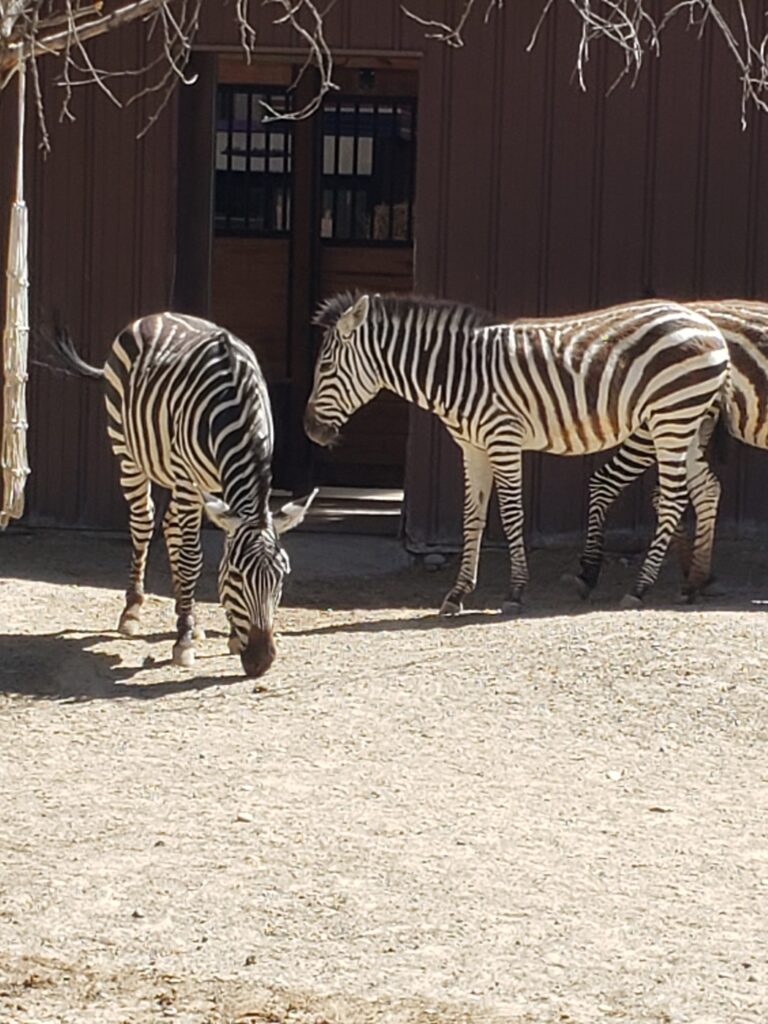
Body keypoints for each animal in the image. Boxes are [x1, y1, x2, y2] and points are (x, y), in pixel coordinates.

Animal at [53, 315, 315, 675]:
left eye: (280, 578)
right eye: (237, 577)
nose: (261, 663)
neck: (237, 406)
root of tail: (155, 316)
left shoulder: (220, 489)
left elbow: (214, 551)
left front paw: (228, 633)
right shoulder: (189, 478)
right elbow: (193, 558)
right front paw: (185, 642)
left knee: (171, 529)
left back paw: (185, 614)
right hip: (129, 453)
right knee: (144, 523)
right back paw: (134, 611)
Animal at [303, 292, 729, 610]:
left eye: (325, 367)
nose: (310, 430)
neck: (457, 374)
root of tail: (706, 325)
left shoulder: (502, 438)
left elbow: (510, 515)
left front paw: (516, 590)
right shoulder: (471, 446)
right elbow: (472, 517)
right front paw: (458, 593)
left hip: (671, 418)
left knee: (673, 499)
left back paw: (640, 588)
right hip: (685, 422)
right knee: (707, 489)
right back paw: (694, 583)